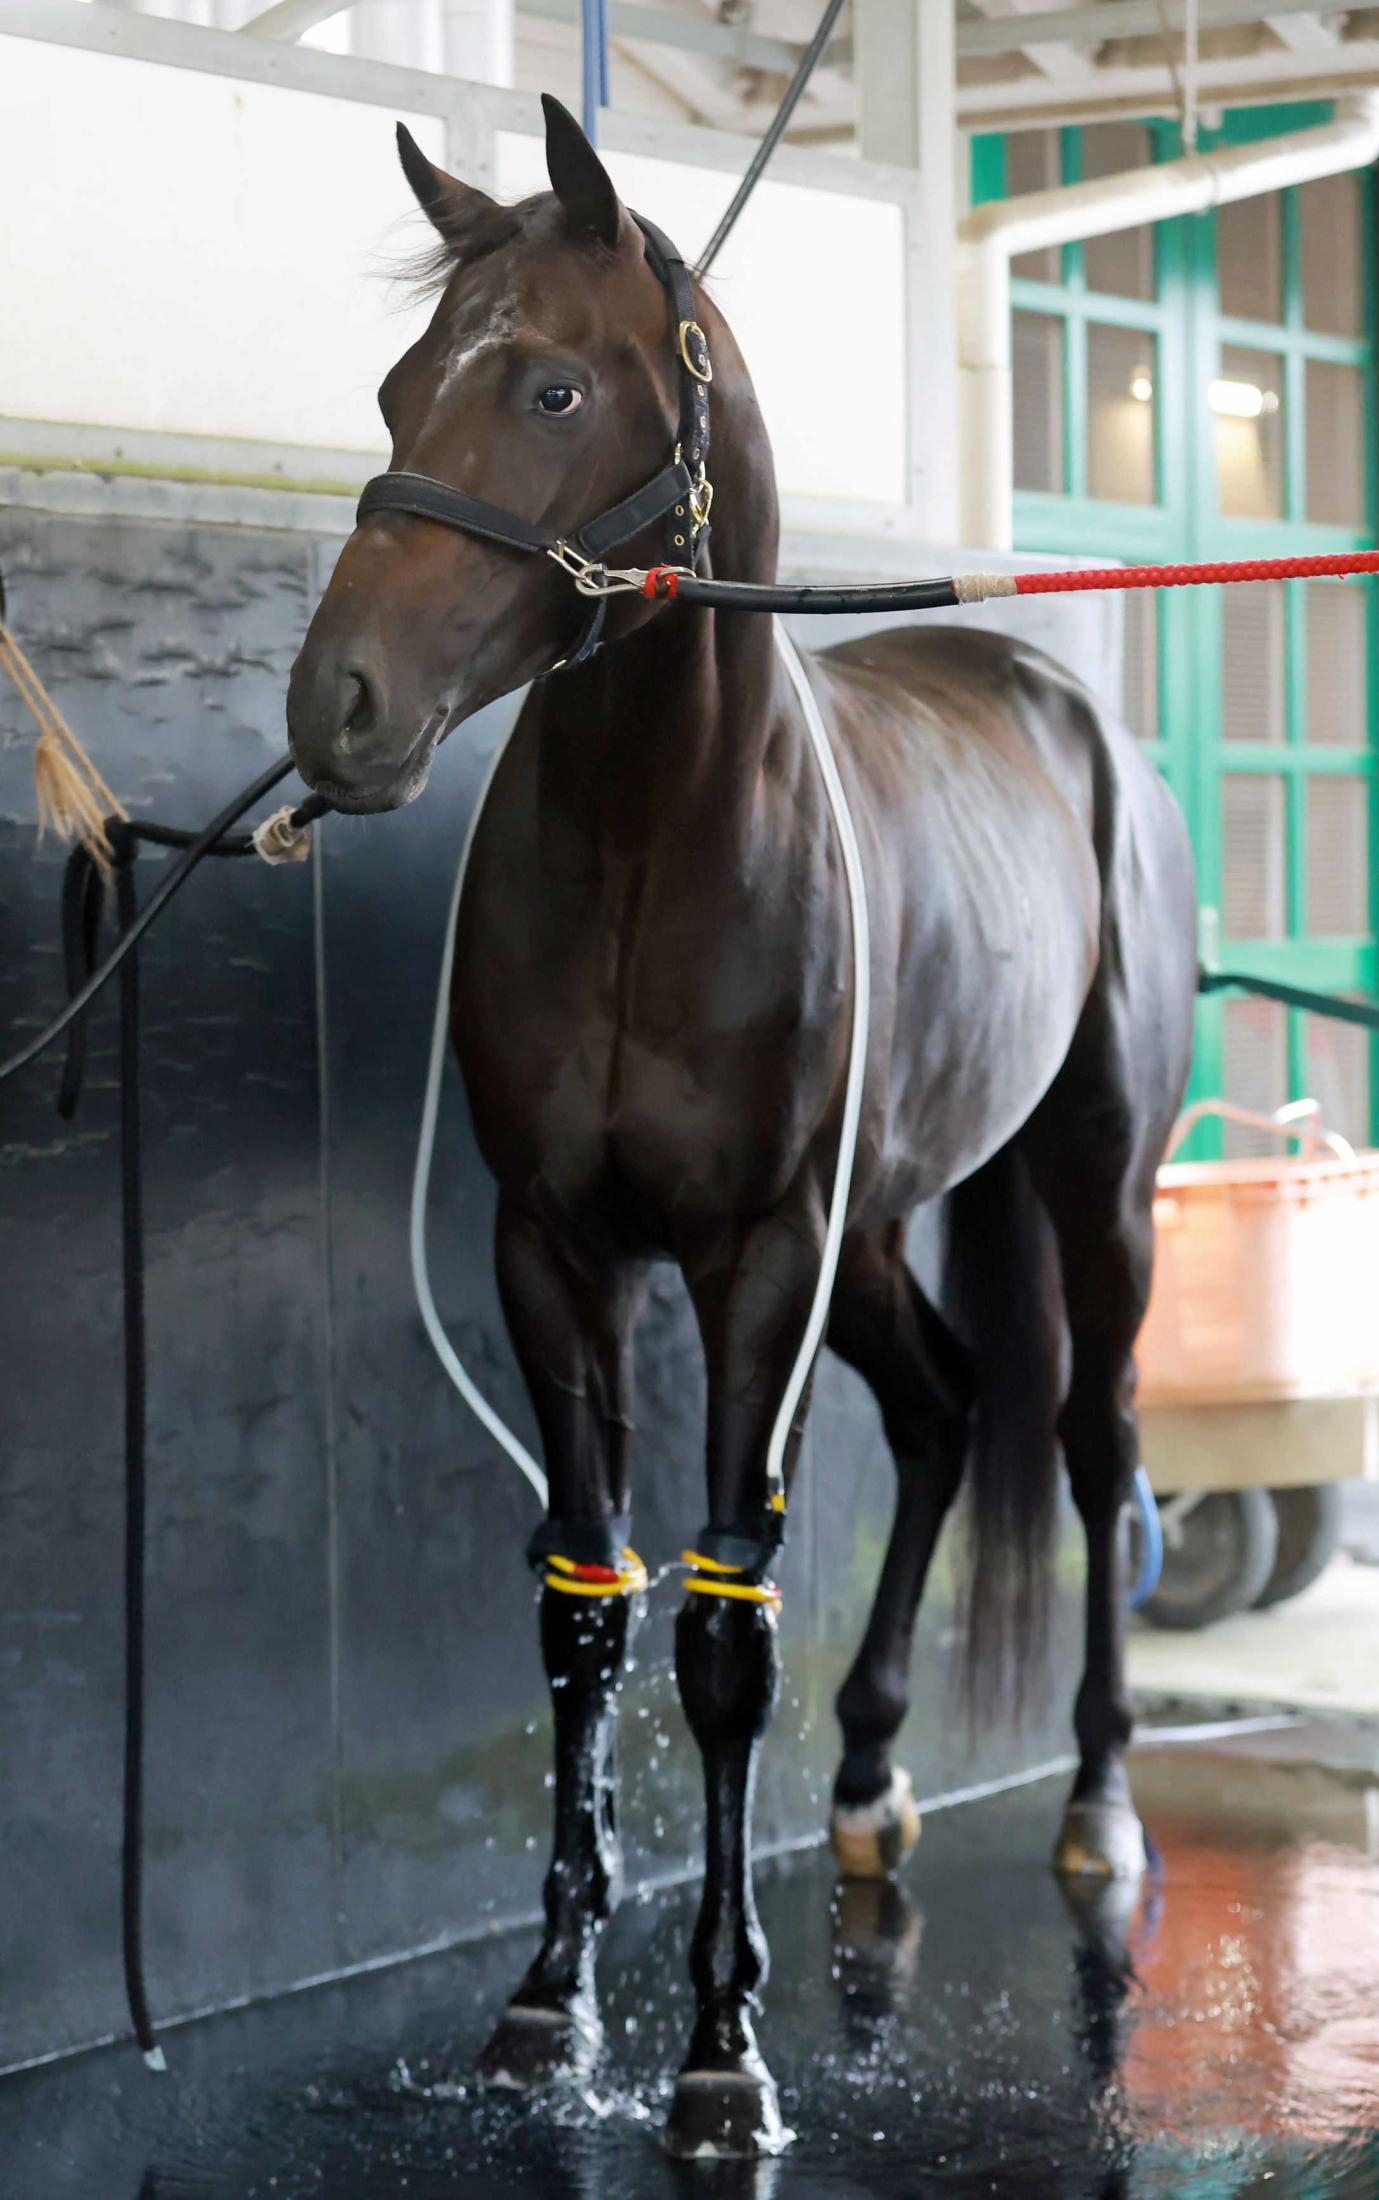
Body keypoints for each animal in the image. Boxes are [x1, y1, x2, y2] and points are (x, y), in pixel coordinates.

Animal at [285, 99, 1205, 2147]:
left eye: (550, 386)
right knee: (942, 1411)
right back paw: (864, 1785)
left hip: (1087, 1190)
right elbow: (583, 1613)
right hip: (865, 1236)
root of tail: (1059, 698)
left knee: (1089, 1443)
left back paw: (1099, 1801)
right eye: (390, 384)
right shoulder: (555, 1250)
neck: (656, 842)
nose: (336, 708)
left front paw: (721, 2047)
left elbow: (718, 1633)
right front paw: (549, 1999)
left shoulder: (748, 1257)